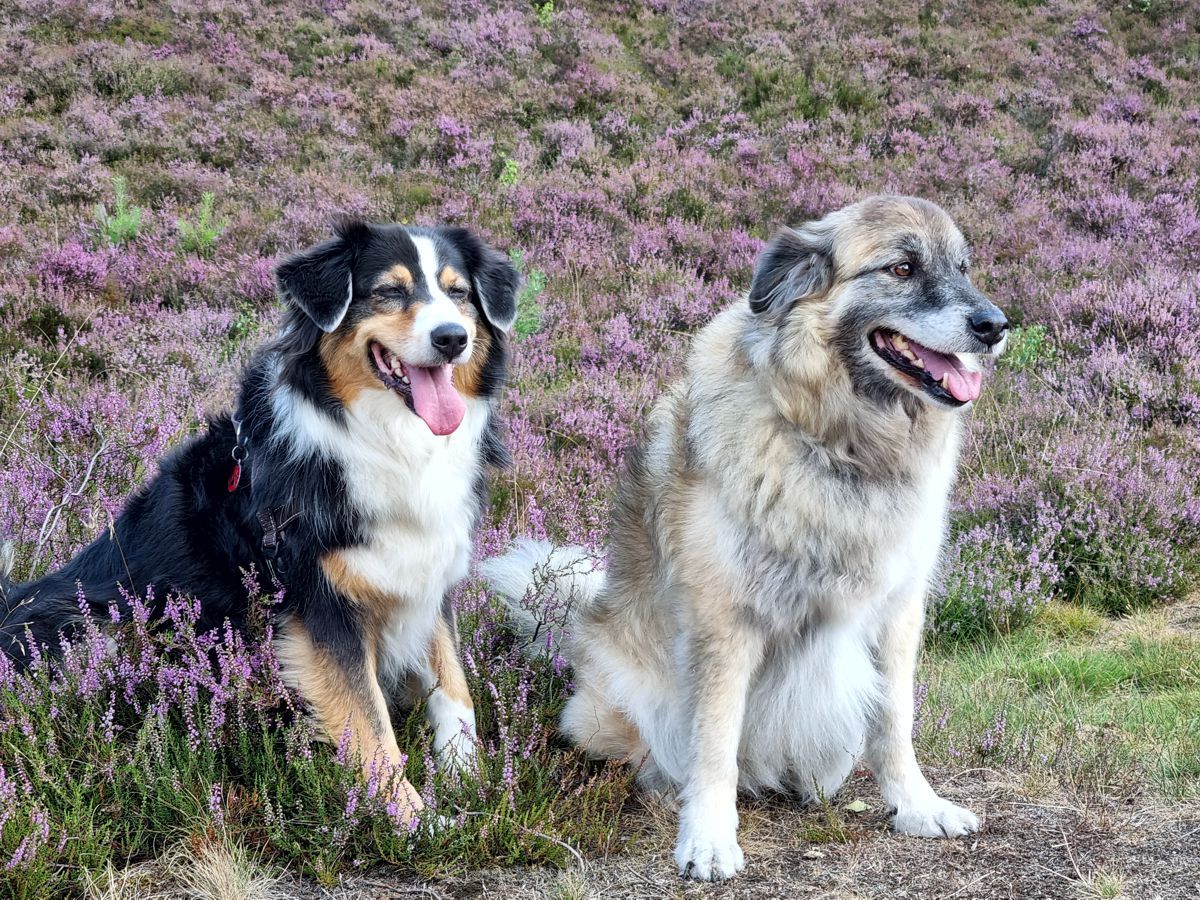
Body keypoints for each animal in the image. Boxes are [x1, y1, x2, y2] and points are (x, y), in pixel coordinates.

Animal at [0, 224, 518, 816]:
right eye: (389, 291)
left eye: (459, 294)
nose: (452, 338)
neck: (388, 442)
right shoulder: (320, 607)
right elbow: (369, 723)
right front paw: (413, 818)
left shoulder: (427, 575)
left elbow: (454, 686)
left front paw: (471, 780)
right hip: (95, 629)